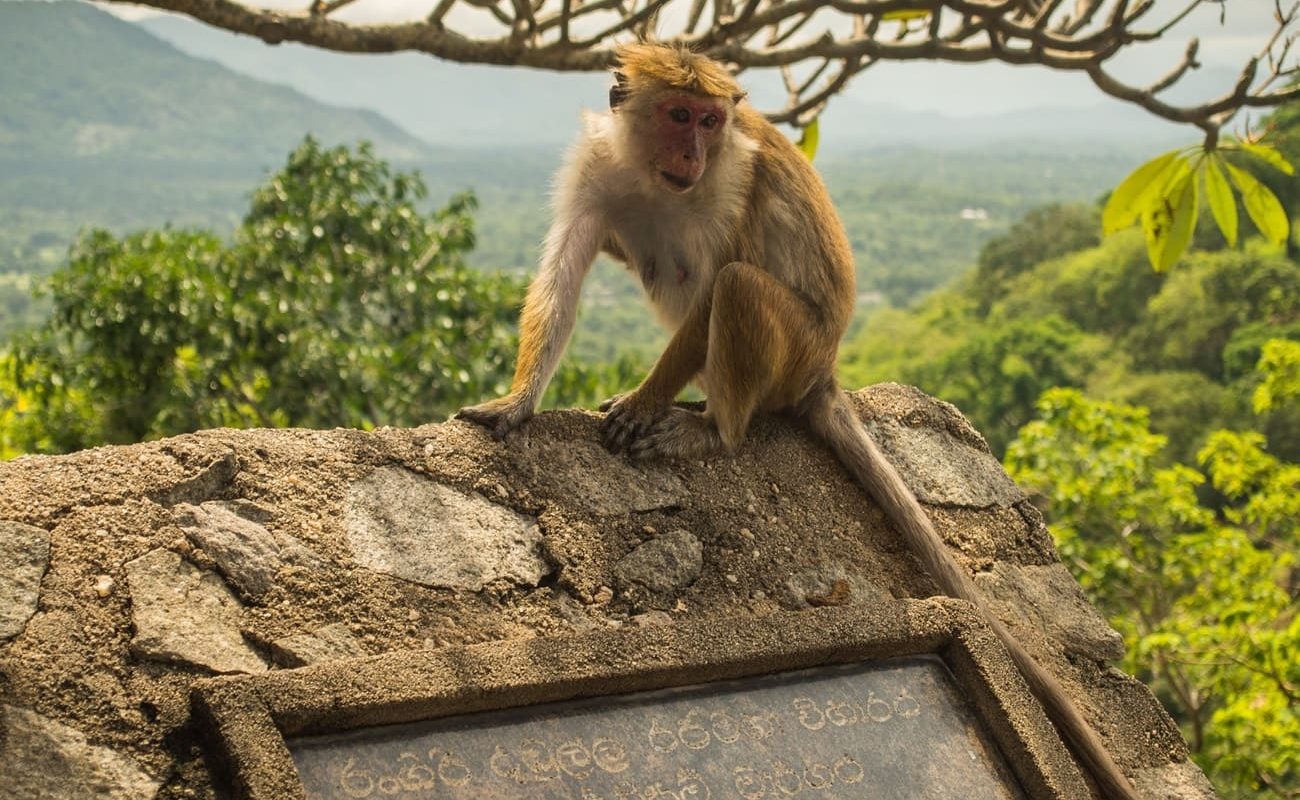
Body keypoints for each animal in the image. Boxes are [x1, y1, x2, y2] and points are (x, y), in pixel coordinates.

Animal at [458, 43, 1139, 800]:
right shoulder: (596, 168)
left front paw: (644, 400)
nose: (696, 150)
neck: (656, 175)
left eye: (710, 120)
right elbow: (566, 268)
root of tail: (825, 372)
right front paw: (516, 402)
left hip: (795, 349)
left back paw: (712, 427)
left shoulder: (731, 178)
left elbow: (720, 274)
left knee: (735, 285)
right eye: (678, 115)